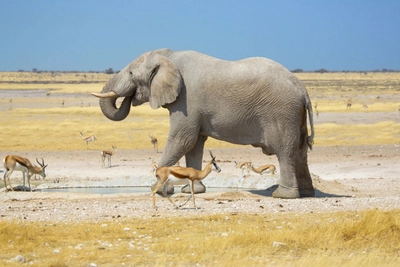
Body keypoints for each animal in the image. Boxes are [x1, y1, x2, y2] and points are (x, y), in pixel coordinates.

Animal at [93, 49, 316, 199]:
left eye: (131, 73)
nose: (129, 98)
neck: (169, 55)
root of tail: (303, 89)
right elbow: (194, 144)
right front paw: (191, 190)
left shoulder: (186, 100)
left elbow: (182, 140)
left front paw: (159, 189)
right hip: (294, 115)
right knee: (300, 151)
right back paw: (307, 192)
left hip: (281, 113)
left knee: (285, 151)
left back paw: (283, 195)